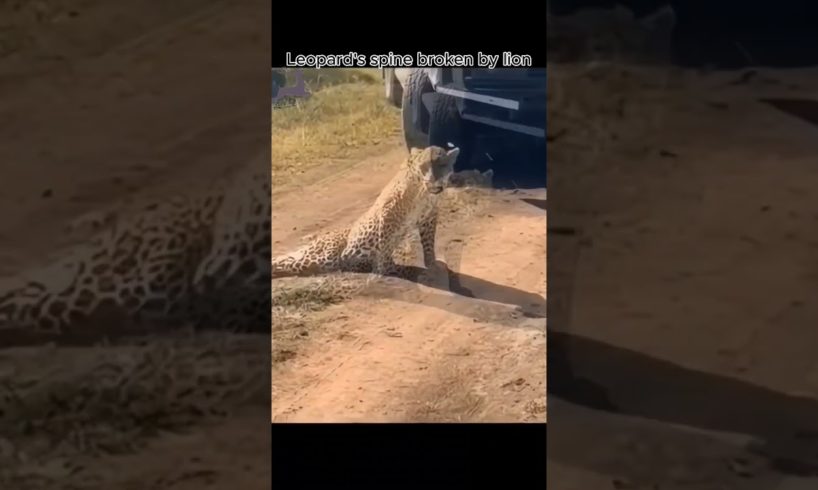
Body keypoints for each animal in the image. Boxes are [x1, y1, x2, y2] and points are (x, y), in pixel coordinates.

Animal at [270, 145, 456, 280]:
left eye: (442, 165)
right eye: (424, 166)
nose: (433, 179)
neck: (424, 192)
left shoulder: (429, 216)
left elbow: (428, 242)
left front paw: (432, 264)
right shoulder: (388, 212)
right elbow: (385, 244)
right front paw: (388, 269)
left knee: (287, 259)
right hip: (324, 259)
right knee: (289, 263)